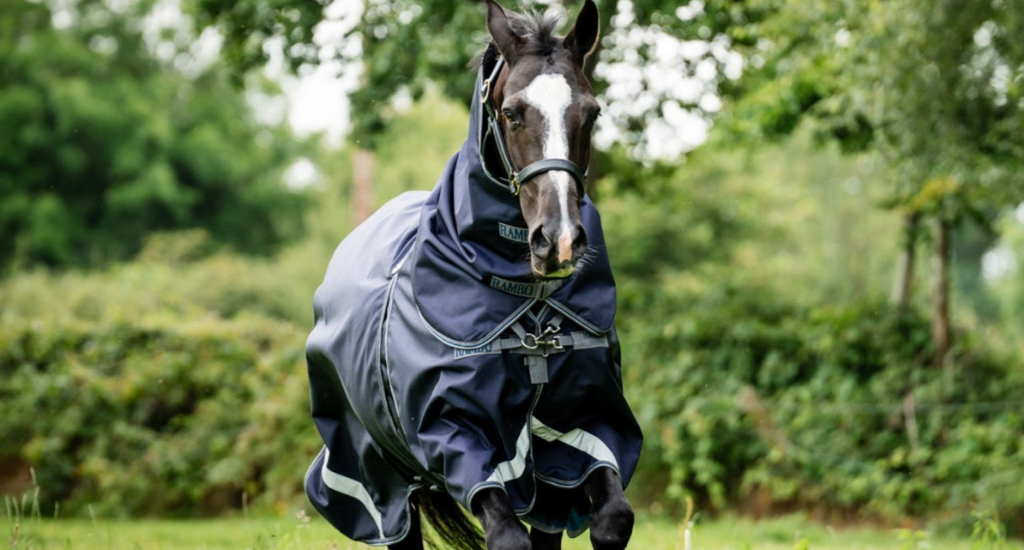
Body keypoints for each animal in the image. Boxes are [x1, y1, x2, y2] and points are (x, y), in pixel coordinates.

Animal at [303, 2, 642, 549]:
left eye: (591, 113)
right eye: (512, 112)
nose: (560, 240)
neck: (529, 304)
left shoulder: (584, 429)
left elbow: (613, 517)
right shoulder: (458, 434)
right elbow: (506, 536)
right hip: (378, 477)